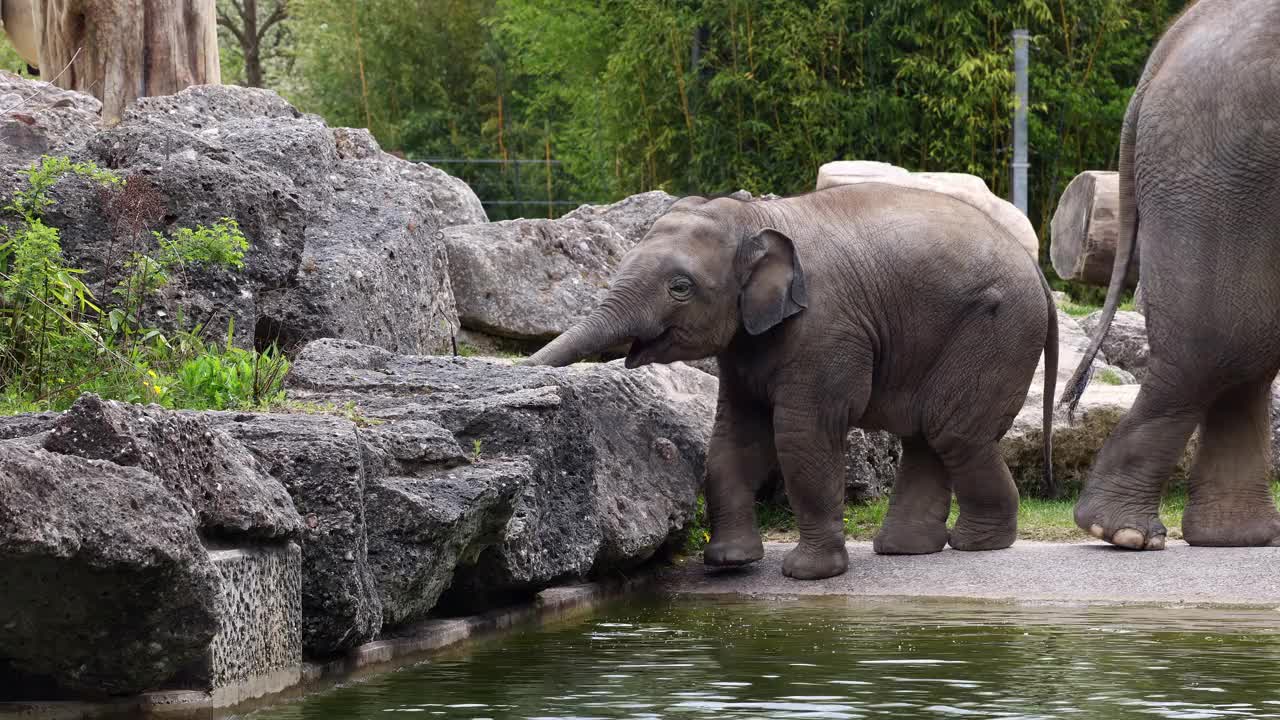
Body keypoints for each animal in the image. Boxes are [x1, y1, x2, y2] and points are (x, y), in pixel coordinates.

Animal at [524, 183, 1054, 576]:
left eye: (681, 288)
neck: (752, 217)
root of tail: (1038, 272)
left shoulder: (825, 328)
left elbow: (800, 434)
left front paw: (808, 574)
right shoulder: (745, 342)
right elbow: (734, 437)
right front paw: (729, 562)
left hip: (998, 330)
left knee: (952, 432)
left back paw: (977, 544)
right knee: (927, 434)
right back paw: (907, 549)